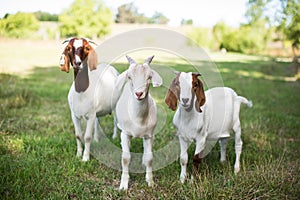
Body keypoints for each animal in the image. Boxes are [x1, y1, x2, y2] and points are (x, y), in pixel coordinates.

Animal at [113, 55, 163, 190]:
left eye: (149, 77)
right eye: (129, 77)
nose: (139, 93)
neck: (138, 119)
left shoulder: (150, 135)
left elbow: (150, 158)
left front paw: (150, 182)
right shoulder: (125, 133)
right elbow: (125, 158)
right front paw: (123, 185)